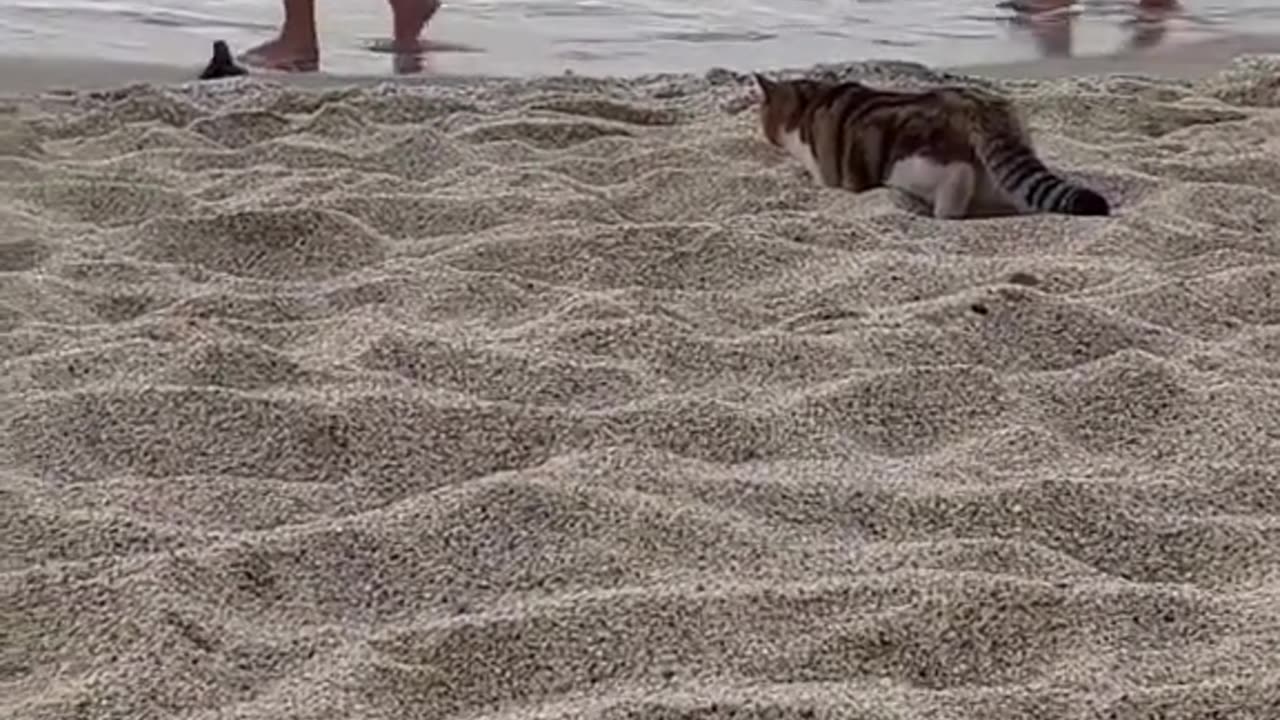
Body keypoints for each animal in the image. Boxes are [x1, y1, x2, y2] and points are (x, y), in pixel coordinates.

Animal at [747, 73, 1111, 220]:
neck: (812, 103)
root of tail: (980, 105)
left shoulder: (831, 173)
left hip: (911, 162)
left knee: (956, 176)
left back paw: (946, 212)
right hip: (999, 175)